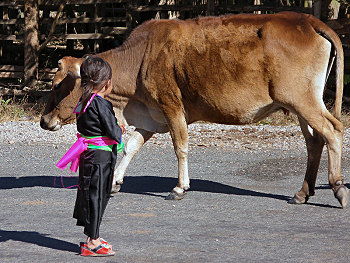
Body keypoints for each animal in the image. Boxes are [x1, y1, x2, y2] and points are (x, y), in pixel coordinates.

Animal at [40, 11, 348, 206]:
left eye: (56, 86)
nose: (44, 121)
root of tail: (307, 20)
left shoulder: (172, 106)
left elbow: (181, 146)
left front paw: (179, 187)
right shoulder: (151, 116)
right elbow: (131, 147)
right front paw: (115, 181)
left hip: (302, 101)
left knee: (333, 130)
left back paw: (337, 187)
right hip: (301, 105)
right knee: (314, 142)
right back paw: (302, 192)